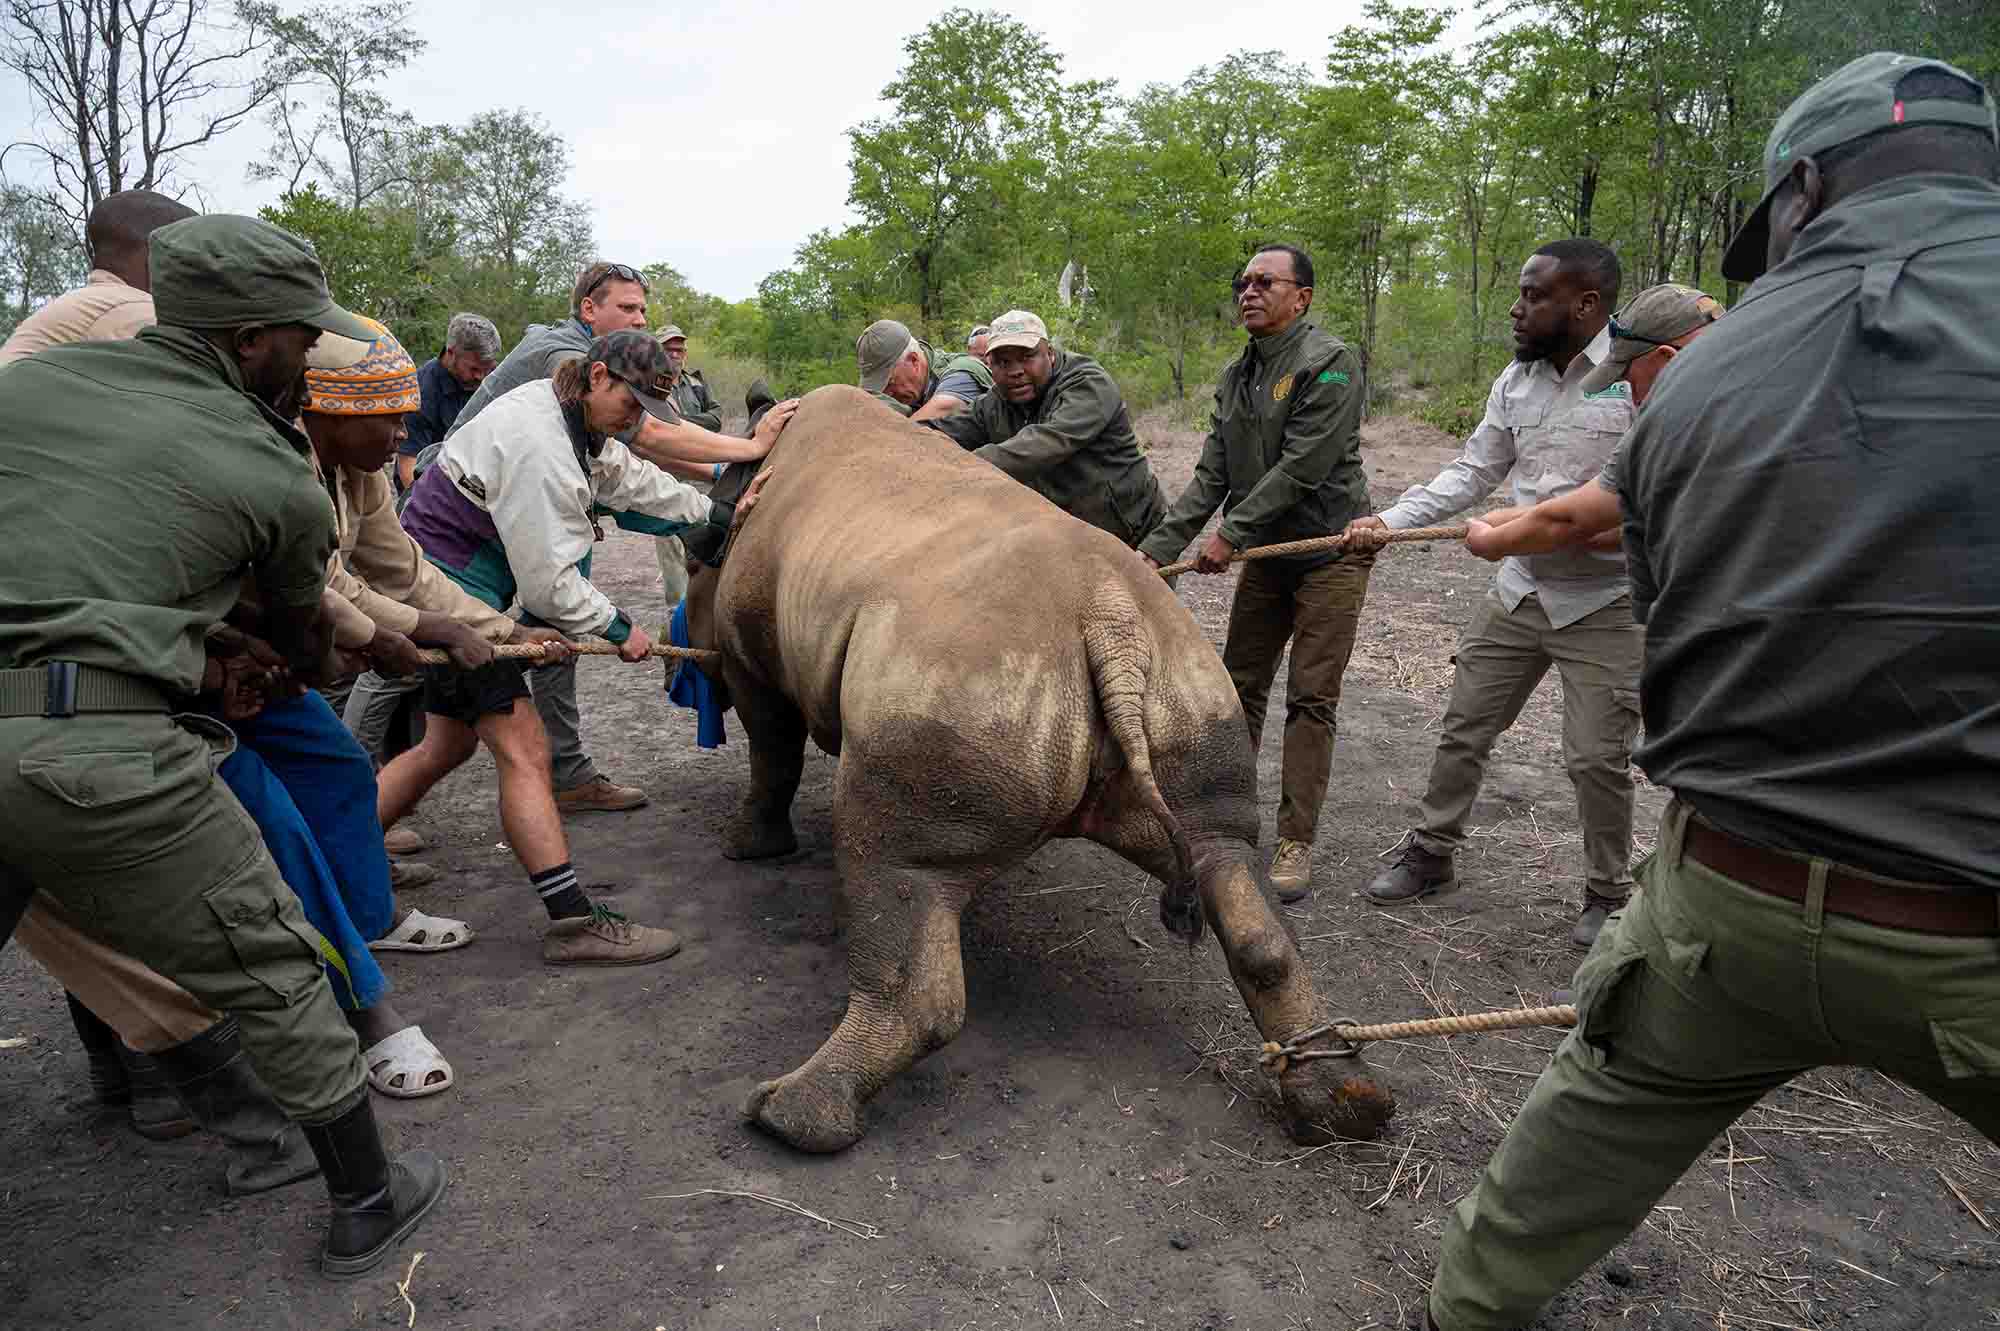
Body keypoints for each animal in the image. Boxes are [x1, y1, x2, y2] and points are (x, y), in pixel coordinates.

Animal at [683, 385, 1393, 1153]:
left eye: (690, 573)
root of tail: (1109, 618)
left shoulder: (749, 657)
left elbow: (771, 754)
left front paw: (747, 848)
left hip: (960, 675)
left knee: (887, 855)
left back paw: (787, 1116)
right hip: (1186, 683)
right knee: (1222, 855)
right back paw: (1349, 1108)